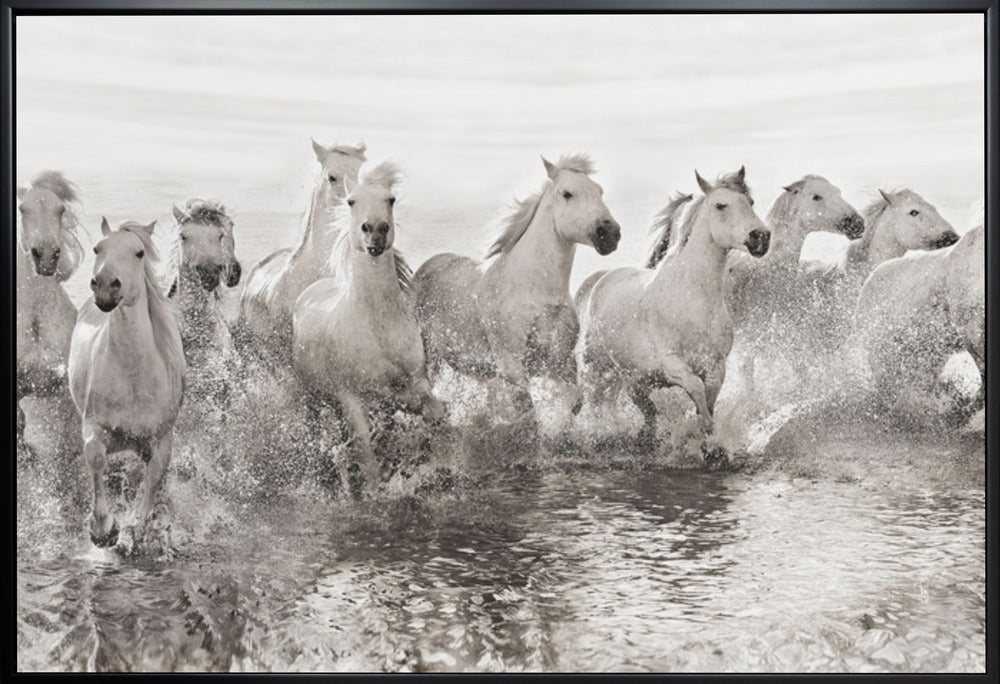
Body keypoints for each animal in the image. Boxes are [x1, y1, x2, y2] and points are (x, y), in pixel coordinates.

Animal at [68, 219, 186, 552]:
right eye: (98, 248)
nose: (106, 285)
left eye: (139, 253)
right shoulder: (94, 425)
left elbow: (154, 477)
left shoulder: (161, 439)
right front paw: (104, 530)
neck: (133, 378)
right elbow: (96, 458)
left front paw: (136, 526)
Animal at [293, 161, 445, 494]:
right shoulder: (351, 398)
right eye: (351, 201)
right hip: (313, 398)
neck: (376, 326)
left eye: (391, 199)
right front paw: (374, 490)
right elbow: (367, 453)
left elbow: (433, 414)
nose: (375, 230)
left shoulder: (414, 383)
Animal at [411, 154, 621, 428]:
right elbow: (527, 414)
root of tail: (427, 267)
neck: (534, 291)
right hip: (429, 355)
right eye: (567, 193)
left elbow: (574, 401)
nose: (610, 234)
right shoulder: (512, 365)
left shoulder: (559, 361)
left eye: (599, 191)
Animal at [576, 170, 770, 460]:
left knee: (640, 409)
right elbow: (697, 389)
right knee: (594, 398)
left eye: (751, 202)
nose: (761, 237)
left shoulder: (716, 364)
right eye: (720, 205)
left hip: (632, 378)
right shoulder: (672, 362)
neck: (693, 298)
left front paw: (710, 444)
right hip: (597, 366)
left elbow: (708, 399)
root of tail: (601, 279)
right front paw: (703, 437)